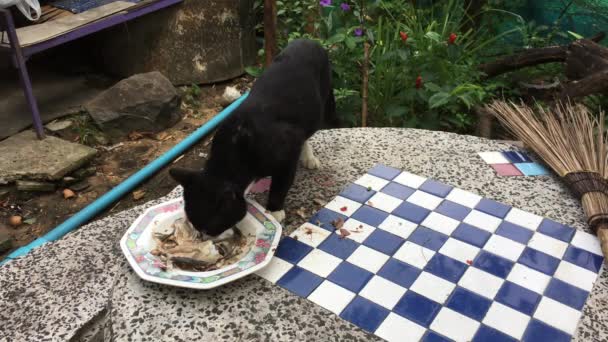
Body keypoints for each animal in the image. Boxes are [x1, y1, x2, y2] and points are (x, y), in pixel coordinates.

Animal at [169, 38, 338, 238]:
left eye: (211, 229)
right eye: (194, 224)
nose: (203, 238)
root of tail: (309, 40)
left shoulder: (288, 148)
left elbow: (282, 182)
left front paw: (274, 210)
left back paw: (309, 158)